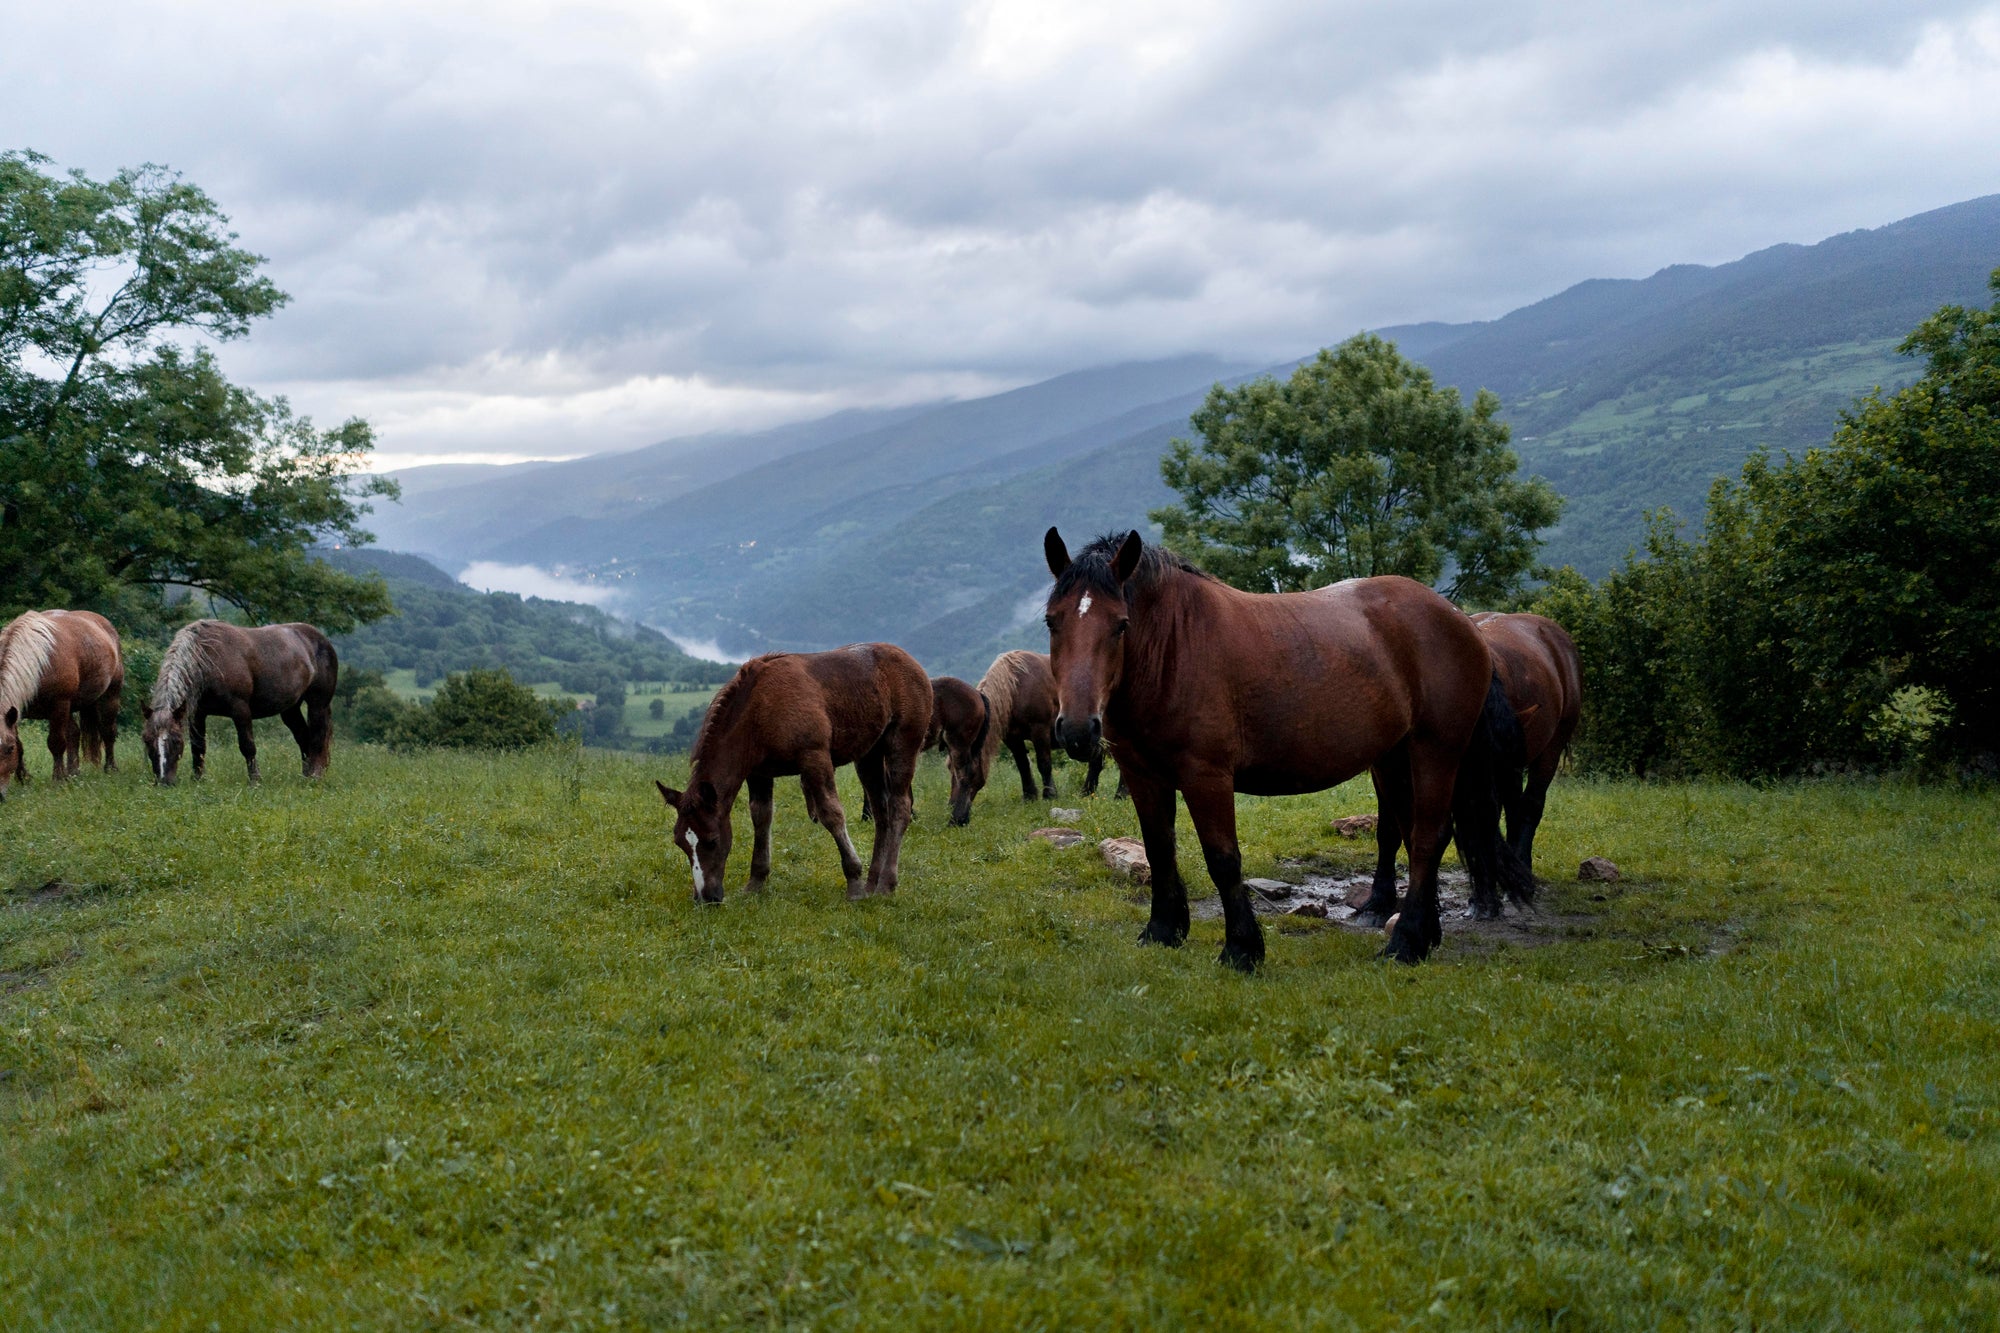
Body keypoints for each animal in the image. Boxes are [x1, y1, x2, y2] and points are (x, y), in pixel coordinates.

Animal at [0, 608, 124, 792]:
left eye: (9, 749)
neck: (38, 664)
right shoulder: (15, 711)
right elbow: (21, 744)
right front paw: (23, 778)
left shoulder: (59, 705)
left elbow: (56, 742)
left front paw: (58, 778)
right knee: (74, 733)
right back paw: (73, 772)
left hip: (110, 697)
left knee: (108, 732)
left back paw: (110, 768)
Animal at [143, 620, 338, 784]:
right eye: (146, 740)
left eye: (176, 740)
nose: (164, 781)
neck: (207, 659)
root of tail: (320, 638)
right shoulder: (198, 713)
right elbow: (198, 747)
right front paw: (197, 780)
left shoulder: (240, 709)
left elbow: (247, 746)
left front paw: (255, 780)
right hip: (290, 709)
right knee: (303, 738)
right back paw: (305, 776)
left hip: (318, 704)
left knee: (317, 738)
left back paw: (314, 776)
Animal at [660, 644, 932, 904]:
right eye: (680, 843)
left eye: (713, 840)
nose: (705, 898)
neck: (760, 707)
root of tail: (912, 662)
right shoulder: (758, 773)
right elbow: (761, 817)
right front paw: (755, 882)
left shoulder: (815, 757)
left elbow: (832, 814)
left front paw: (854, 881)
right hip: (869, 755)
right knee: (881, 812)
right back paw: (872, 883)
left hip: (902, 743)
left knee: (899, 807)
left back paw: (886, 884)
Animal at [1040, 528, 1520, 964]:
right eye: (1052, 621)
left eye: (1121, 624)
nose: (1077, 729)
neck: (1175, 647)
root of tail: (1462, 620)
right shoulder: (1142, 775)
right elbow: (1159, 849)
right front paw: (1162, 931)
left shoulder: (1207, 776)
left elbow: (1223, 859)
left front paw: (1242, 949)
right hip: (1395, 758)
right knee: (1414, 832)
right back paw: (1423, 935)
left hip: (1435, 751)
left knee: (1428, 839)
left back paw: (1403, 944)